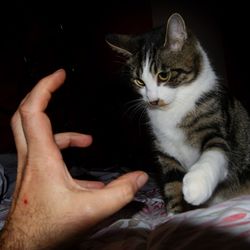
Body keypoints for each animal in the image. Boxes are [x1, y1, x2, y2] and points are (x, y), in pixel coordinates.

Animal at [105, 12, 250, 214]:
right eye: (139, 81)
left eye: (163, 75)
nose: (153, 100)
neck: (173, 108)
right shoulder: (165, 149)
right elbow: (172, 181)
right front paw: (176, 213)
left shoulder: (214, 122)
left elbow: (216, 149)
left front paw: (197, 185)